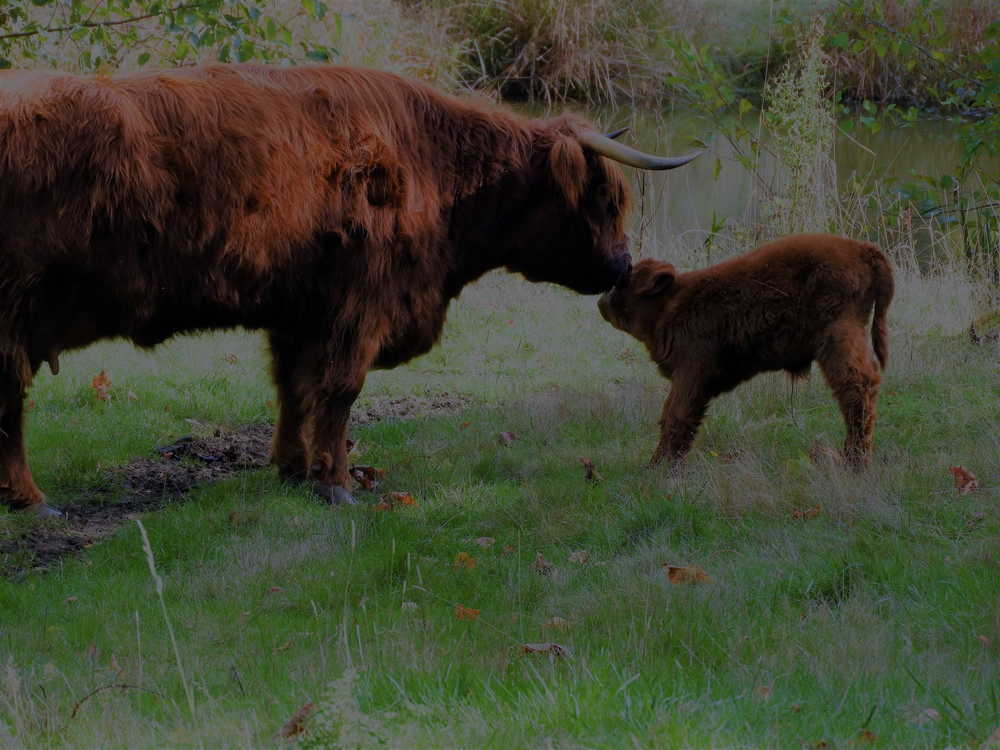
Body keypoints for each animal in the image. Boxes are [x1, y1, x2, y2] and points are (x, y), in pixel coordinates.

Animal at [0, 64, 698, 516]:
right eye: (602, 197)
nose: (622, 264)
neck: (435, 167)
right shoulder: (360, 305)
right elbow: (338, 391)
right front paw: (334, 483)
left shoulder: (296, 309)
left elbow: (291, 387)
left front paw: (289, 469)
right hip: (14, 312)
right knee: (11, 400)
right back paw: (31, 502)